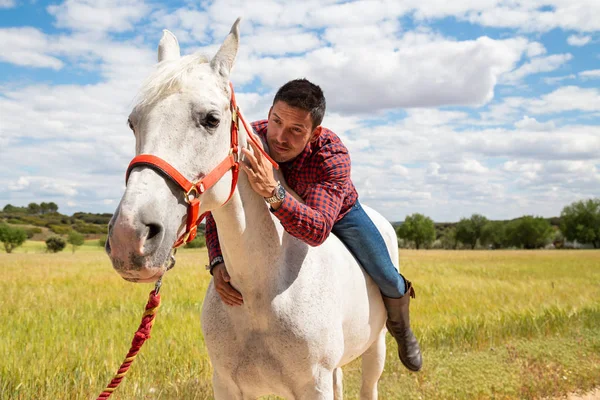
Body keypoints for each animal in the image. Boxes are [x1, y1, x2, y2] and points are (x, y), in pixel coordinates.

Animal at [107, 19, 398, 400]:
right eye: (133, 122)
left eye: (212, 119)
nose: (130, 236)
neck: (262, 289)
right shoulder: (227, 383)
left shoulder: (314, 384)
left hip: (375, 348)